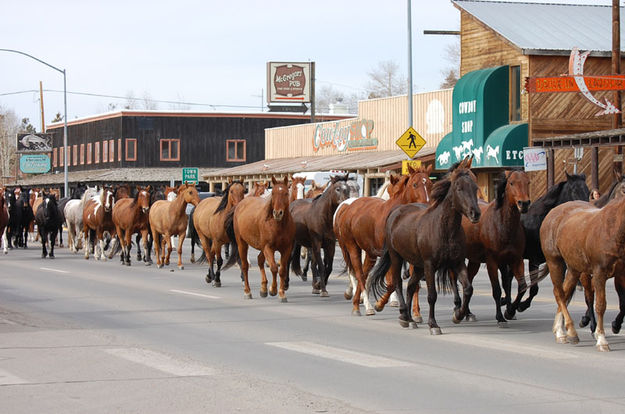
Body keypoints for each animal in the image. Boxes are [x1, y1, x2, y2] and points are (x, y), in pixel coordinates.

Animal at [334, 163, 432, 316]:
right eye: (415, 184)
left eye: (430, 183)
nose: (427, 205)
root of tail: (348, 208)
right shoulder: (390, 255)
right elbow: (391, 281)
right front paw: (380, 304)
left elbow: (410, 281)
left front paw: (416, 313)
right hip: (351, 247)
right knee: (359, 274)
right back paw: (364, 305)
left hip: (370, 253)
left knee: (365, 274)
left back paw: (358, 301)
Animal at [370, 164, 482, 334]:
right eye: (459, 188)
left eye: (475, 187)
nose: (475, 213)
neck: (445, 229)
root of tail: (395, 212)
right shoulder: (430, 265)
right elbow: (432, 295)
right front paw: (433, 324)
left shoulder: (458, 262)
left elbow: (468, 289)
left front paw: (459, 315)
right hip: (397, 257)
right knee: (397, 282)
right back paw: (403, 315)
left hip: (417, 265)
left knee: (410, 286)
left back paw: (410, 318)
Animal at [460, 170, 528, 326]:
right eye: (511, 183)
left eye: (528, 182)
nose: (524, 203)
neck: (503, 225)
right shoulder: (492, 262)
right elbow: (496, 290)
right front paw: (500, 317)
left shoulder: (516, 260)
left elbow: (521, 286)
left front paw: (510, 311)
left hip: (475, 261)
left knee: (469, 281)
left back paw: (468, 312)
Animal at [540, 190, 624, 350]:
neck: (614, 229)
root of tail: (553, 212)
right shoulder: (599, 273)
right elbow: (600, 305)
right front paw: (602, 340)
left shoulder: (621, 274)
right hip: (555, 262)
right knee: (559, 293)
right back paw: (570, 333)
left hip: (574, 268)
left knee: (565, 292)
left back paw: (560, 330)